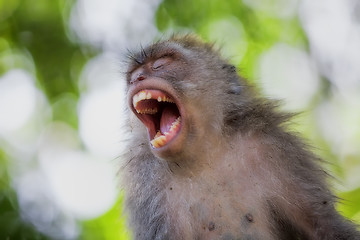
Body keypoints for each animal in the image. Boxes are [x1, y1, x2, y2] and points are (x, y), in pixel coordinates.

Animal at [121, 35, 360, 240]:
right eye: (133, 76)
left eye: (161, 64)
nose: (138, 79)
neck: (205, 154)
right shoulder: (146, 182)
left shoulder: (277, 149)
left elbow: (323, 224)